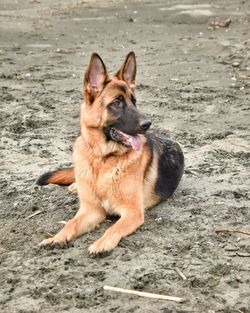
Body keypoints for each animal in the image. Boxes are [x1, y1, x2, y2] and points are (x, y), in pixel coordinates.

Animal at [36, 51, 184, 254]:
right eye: (117, 102)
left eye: (134, 102)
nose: (147, 124)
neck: (103, 159)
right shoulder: (91, 210)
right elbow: (71, 223)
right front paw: (56, 237)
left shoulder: (132, 212)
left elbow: (114, 227)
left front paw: (102, 243)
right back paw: (74, 186)